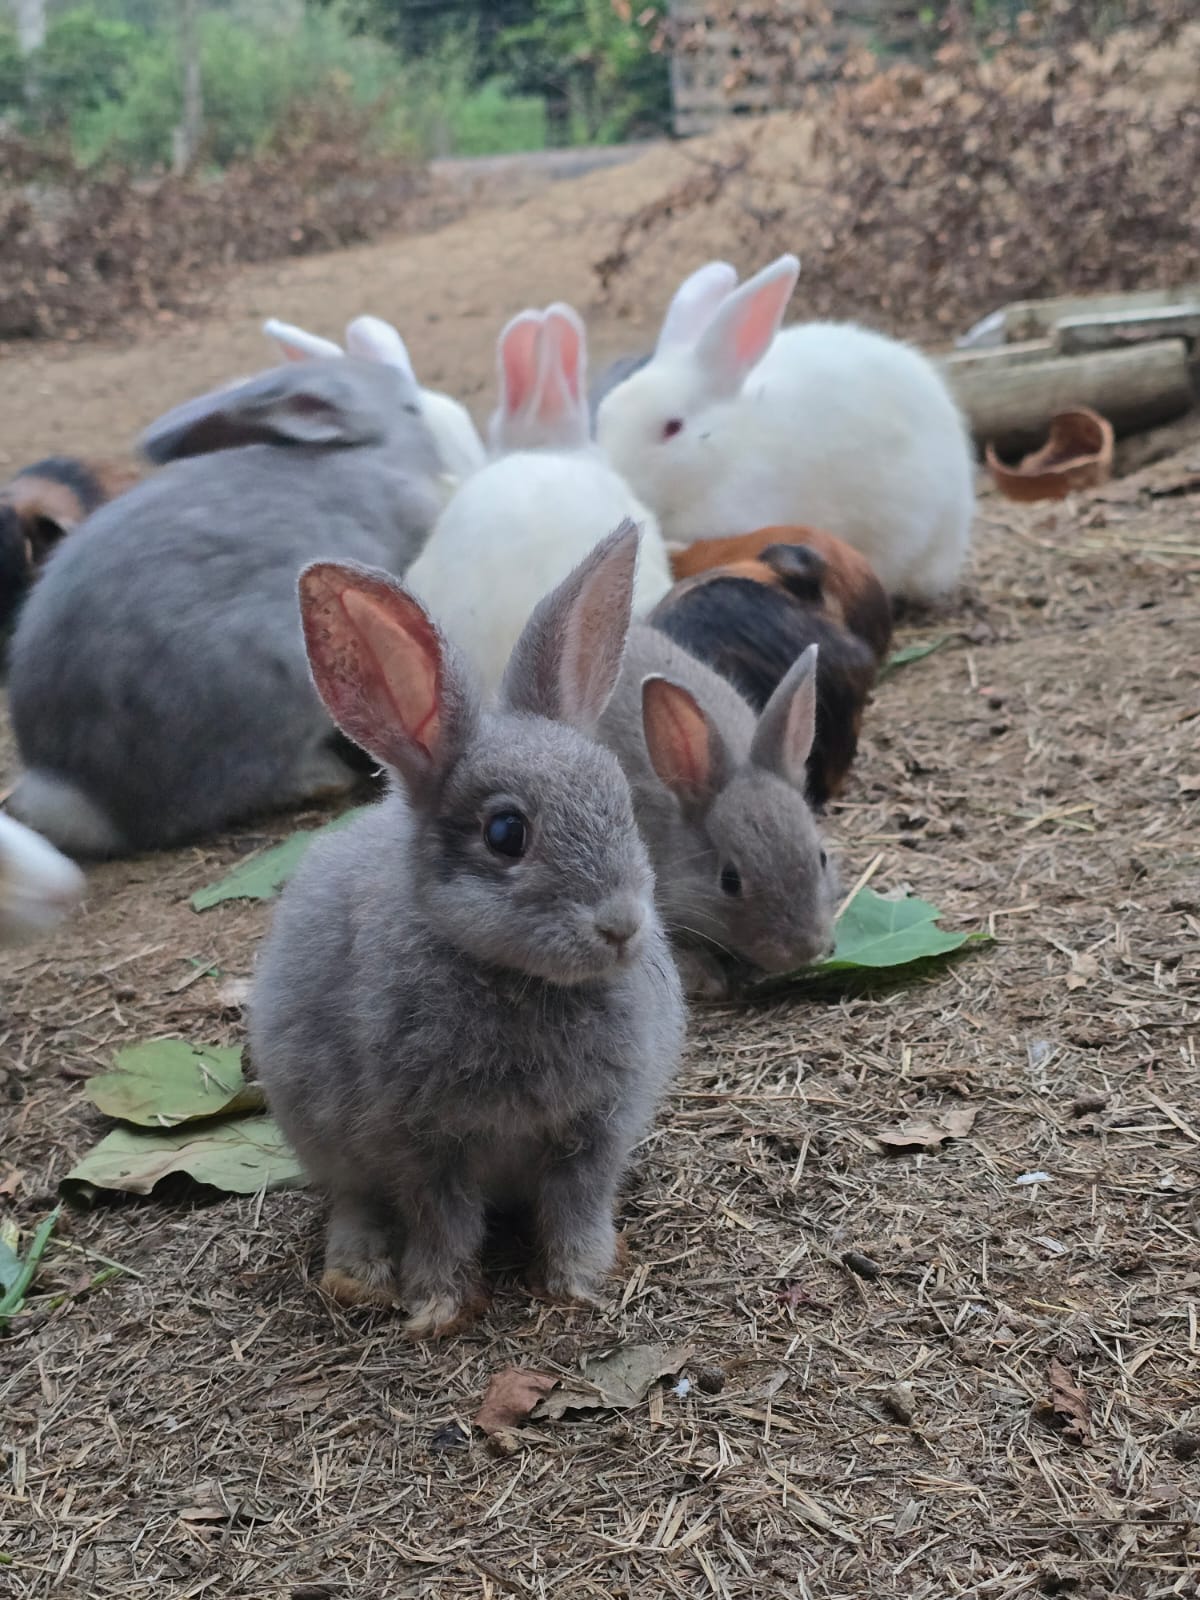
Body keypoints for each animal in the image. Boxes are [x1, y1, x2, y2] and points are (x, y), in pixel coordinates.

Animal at [249, 523, 686, 1338]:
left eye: (623, 805)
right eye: (505, 833)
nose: (621, 927)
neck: (517, 978)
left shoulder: (593, 1135)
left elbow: (576, 1211)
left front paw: (579, 1284)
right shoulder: (423, 1147)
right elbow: (442, 1224)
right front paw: (439, 1308)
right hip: (324, 1140)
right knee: (355, 1202)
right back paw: (357, 1278)